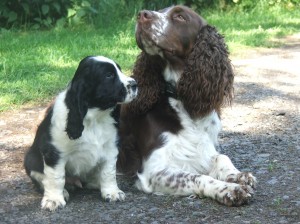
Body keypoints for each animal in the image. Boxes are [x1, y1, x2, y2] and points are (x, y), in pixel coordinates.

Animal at [24, 55, 137, 210]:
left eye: (119, 70)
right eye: (109, 75)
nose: (135, 84)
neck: (95, 117)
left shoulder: (110, 148)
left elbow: (108, 172)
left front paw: (112, 192)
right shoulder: (54, 152)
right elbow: (56, 177)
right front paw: (54, 200)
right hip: (30, 160)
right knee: (43, 179)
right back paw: (64, 191)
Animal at [116, 5, 255, 206]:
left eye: (180, 16)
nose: (142, 15)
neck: (184, 104)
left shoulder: (205, 147)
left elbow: (221, 157)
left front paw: (238, 175)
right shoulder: (154, 170)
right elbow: (198, 177)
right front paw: (229, 189)